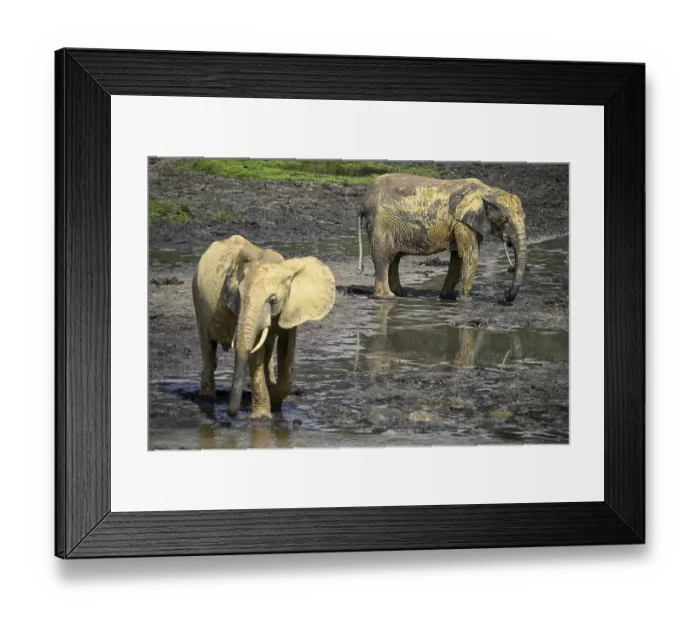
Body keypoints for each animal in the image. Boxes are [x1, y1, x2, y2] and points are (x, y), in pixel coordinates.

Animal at [192, 235, 336, 419]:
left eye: (272, 299)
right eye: (239, 297)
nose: (231, 414)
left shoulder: (290, 307)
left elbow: (286, 350)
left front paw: (275, 399)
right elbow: (255, 353)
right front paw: (262, 418)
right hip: (197, 298)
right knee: (207, 345)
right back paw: (207, 400)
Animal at [357, 174, 527, 303]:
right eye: (503, 220)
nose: (505, 293)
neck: (487, 191)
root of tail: (363, 202)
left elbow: (458, 256)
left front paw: (448, 297)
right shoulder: (462, 224)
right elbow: (470, 254)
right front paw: (466, 301)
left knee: (394, 258)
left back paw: (401, 294)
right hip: (381, 223)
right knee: (383, 257)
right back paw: (387, 298)